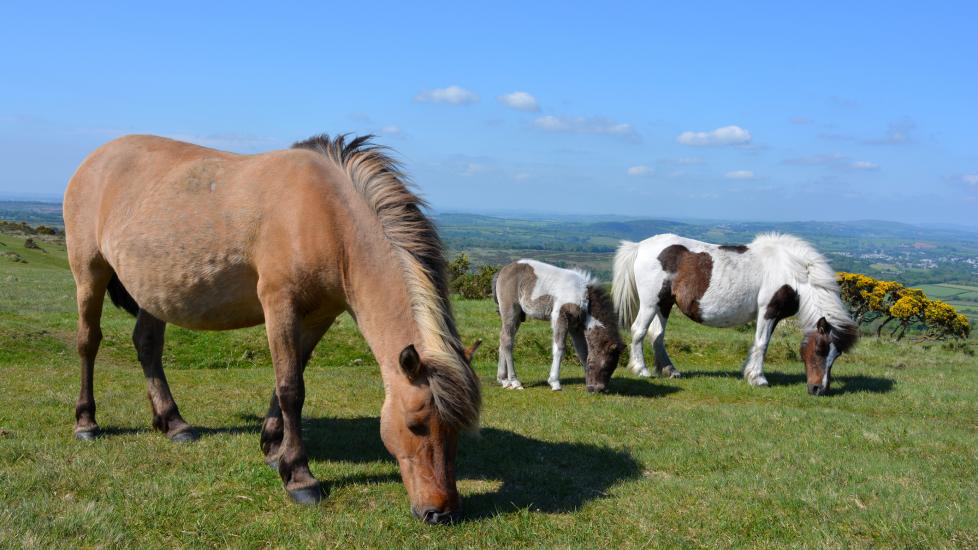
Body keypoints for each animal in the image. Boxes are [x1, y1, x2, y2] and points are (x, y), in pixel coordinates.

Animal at [63, 134, 482, 528]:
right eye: (416, 425)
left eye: (458, 430)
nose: (441, 512)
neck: (326, 214)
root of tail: (93, 160)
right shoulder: (280, 304)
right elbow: (291, 388)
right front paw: (299, 476)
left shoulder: (318, 316)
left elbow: (290, 378)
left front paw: (272, 446)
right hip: (89, 272)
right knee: (88, 343)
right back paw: (86, 422)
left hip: (154, 290)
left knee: (147, 345)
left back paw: (173, 423)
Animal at [492, 262, 620, 394]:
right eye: (605, 366)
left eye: (614, 367)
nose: (597, 389)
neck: (583, 295)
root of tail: (502, 271)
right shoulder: (560, 316)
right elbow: (560, 348)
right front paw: (555, 382)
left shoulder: (575, 327)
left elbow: (582, 351)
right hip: (511, 311)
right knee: (507, 340)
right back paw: (515, 381)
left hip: (517, 317)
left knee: (504, 339)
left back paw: (503, 380)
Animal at [612, 233, 856, 396]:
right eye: (819, 349)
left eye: (836, 355)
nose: (818, 389)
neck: (791, 271)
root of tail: (640, 246)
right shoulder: (768, 311)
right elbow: (762, 344)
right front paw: (758, 378)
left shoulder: (773, 316)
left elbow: (758, 343)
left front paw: (749, 372)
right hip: (650, 302)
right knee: (639, 331)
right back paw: (641, 369)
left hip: (664, 303)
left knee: (657, 335)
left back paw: (670, 370)